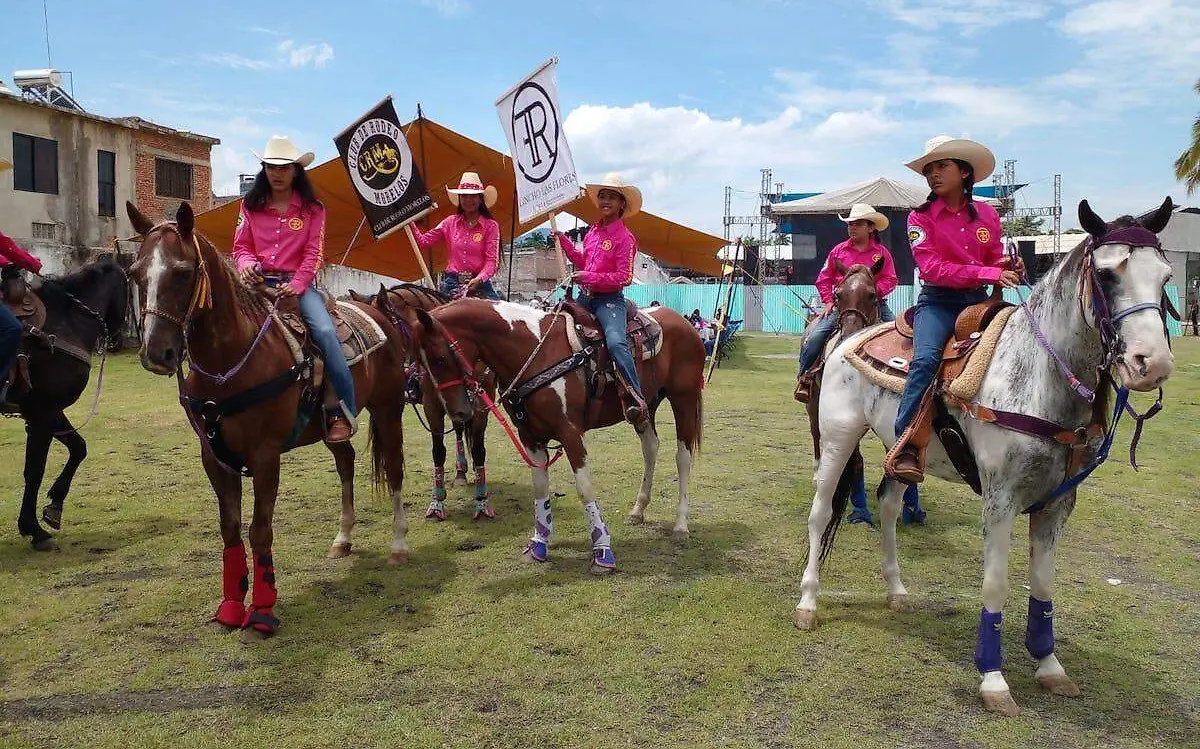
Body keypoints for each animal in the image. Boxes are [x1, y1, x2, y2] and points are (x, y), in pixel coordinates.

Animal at [2, 259, 129, 549]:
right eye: (129, 287)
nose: (118, 338)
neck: (67, 321)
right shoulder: (43, 413)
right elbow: (34, 471)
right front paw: (33, 528)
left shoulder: (46, 412)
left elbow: (78, 448)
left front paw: (55, 505)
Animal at [123, 200, 410, 638]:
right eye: (136, 274)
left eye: (183, 272)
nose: (157, 353)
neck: (230, 363)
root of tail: (377, 309)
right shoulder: (215, 458)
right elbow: (229, 529)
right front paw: (230, 606)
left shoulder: (264, 456)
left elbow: (259, 530)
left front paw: (261, 610)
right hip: (333, 427)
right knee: (345, 463)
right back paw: (342, 538)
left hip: (389, 408)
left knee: (393, 469)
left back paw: (398, 546)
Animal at [792, 198, 1176, 715]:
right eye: (1107, 273)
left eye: (1166, 275)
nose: (1151, 364)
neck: (1040, 375)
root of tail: (846, 339)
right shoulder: (1001, 499)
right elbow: (996, 582)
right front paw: (993, 679)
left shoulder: (1058, 503)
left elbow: (1043, 586)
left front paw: (1050, 667)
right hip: (836, 439)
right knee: (820, 512)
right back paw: (808, 602)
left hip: (899, 451)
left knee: (889, 507)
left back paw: (896, 591)